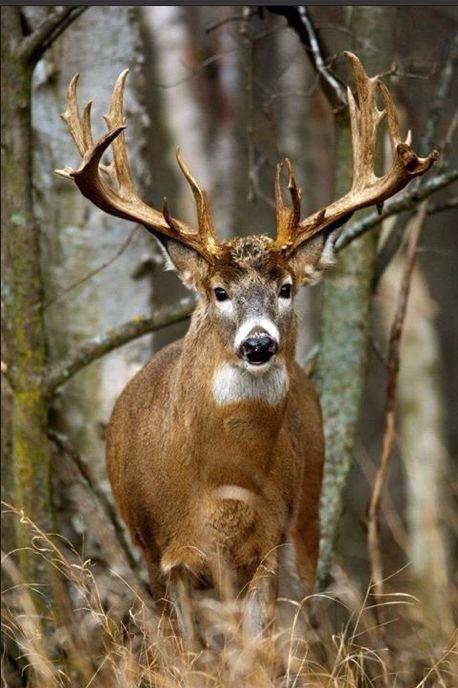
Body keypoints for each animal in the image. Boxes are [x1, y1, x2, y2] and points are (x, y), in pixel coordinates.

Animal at [56, 52, 437, 648]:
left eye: (286, 287)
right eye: (219, 291)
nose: (260, 343)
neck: (220, 491)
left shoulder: (266, 547)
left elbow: (258, 647)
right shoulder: (162, 557)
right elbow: (185, 653)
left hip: (307, 512)